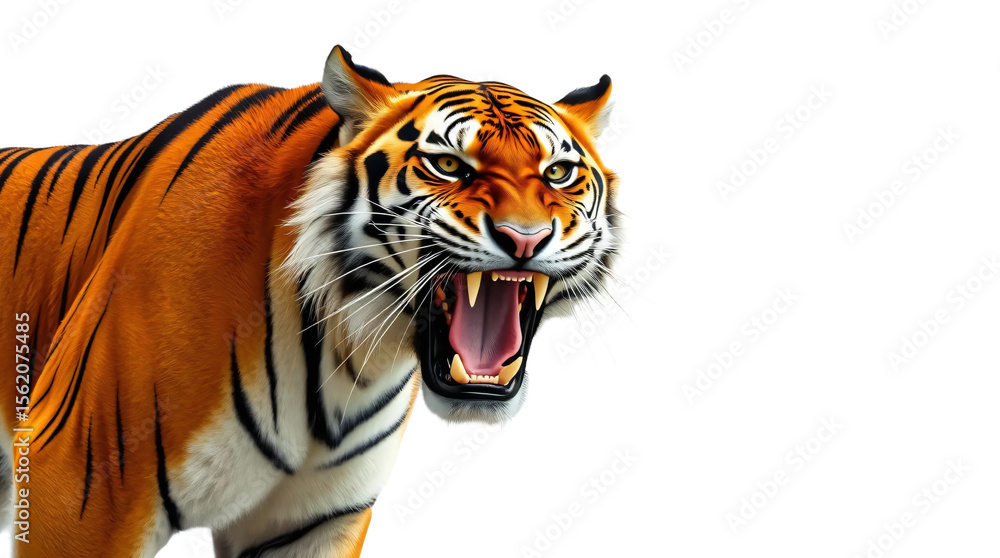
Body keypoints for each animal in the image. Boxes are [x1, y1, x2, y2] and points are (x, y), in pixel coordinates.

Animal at [0, 45, 618, 557]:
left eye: (558, 173)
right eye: (448, 165)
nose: (525, 238)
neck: (349, 355)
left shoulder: (314, 520)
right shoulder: (80, 482)